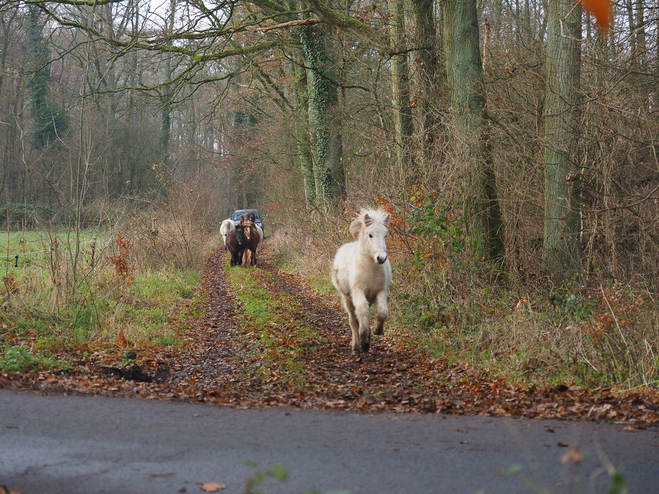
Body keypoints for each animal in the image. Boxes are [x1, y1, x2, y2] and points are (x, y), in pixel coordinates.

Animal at [330, 206, 392, 354]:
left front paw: (376, 330)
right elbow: (362, 311)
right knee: (353, 320)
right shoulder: (358, 291)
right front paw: (364, 341)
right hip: (347, 298)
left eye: (385, 235)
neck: (370, 269)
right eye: (370, 235)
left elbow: (382, 312)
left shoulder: (380, 291)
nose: (381, 258)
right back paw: (355, 347)